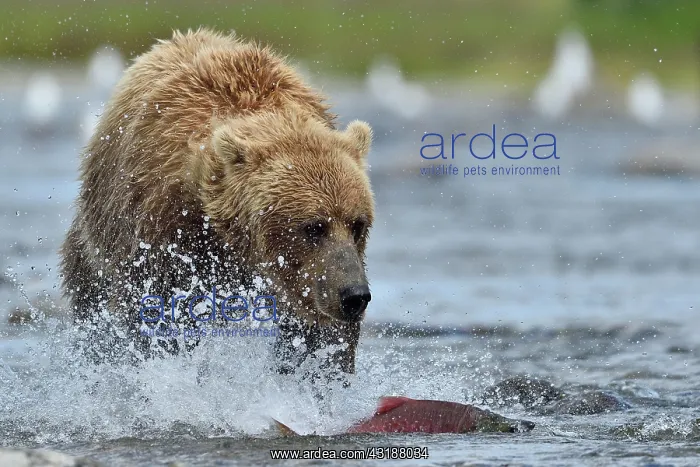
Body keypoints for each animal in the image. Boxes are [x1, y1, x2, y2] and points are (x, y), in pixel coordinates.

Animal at [59, 28, 374, 380]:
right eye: (314, 227)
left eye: (358, 224)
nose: (354, 295)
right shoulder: (165, 232)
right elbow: (159, 314)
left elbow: (320, 338)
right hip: (96, 236)